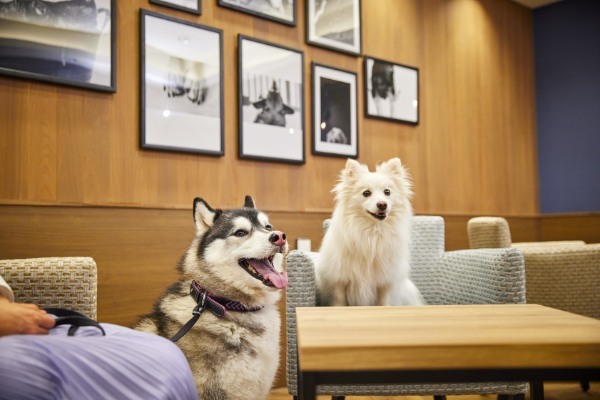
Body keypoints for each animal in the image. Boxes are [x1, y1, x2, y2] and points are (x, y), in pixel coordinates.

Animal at [316, 157, 424, 306]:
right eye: (366, 193)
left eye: (387, 192)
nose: (382, 204)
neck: (372, 232)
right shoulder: (340, 280)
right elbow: (340, 301)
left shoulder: (384, 281)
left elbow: (384, 302)